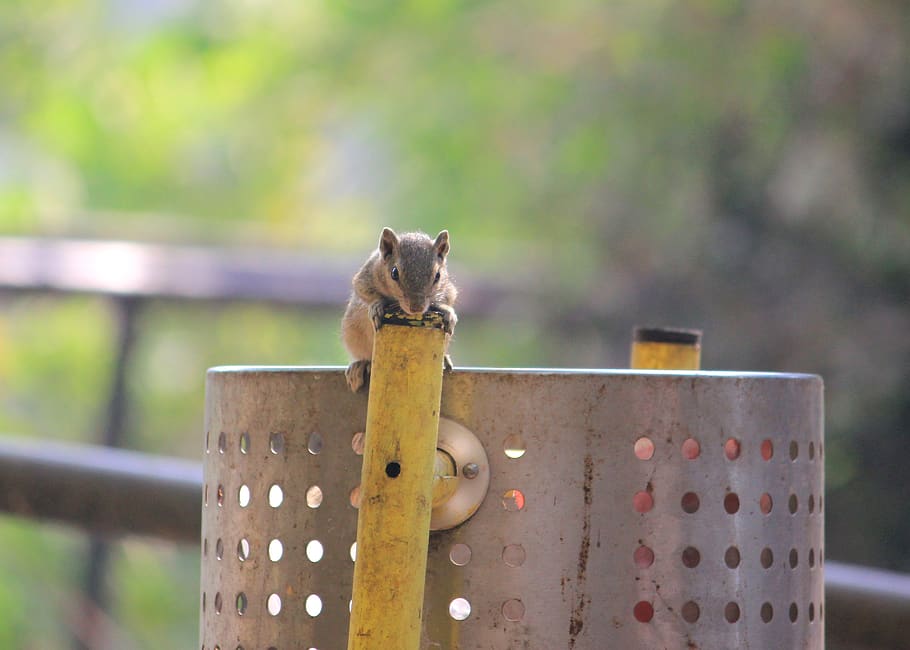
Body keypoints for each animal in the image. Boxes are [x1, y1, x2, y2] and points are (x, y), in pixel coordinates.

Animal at [341, 227, 458, 392]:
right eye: (394, 273)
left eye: (438, 276)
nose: (416, 308)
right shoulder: (365, 276)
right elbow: (365, 291)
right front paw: (376, 307)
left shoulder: (449, 290)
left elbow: (447, 300)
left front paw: (449, 313)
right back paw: (359, 366)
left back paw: (445, 359)